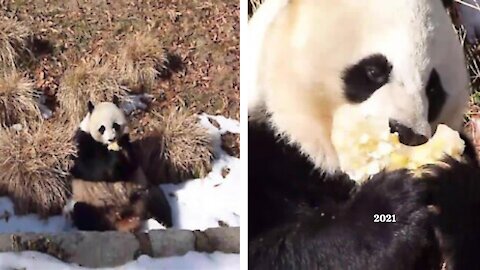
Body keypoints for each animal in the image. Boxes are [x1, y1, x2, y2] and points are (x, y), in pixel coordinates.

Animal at [67, 97, 172, 232]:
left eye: (115, 125)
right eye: (102, 128)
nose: (111, 139)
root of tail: (126, 216)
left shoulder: (127, 140)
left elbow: (131, 165)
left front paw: (122, 155)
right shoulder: (82, 140)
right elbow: (85, 167)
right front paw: (114, 159)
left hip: (140, 192)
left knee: (156, 198)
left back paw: (166, 223)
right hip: (95, 203)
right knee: (83, 212)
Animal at [249, 0, 480, 270]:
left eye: (433, 88)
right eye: (373, 71)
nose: (407, 132)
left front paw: (452, 181)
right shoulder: (267, 149)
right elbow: (265, 250)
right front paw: (390, 205)